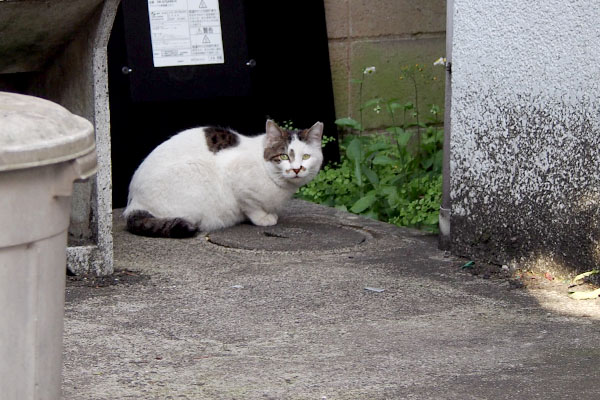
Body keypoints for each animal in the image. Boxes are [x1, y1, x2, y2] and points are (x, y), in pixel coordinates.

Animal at [122, 119, 326, 238]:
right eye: (284, 156)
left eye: (306, 156)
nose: (297, 169)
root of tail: (134, 205)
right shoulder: (235, 177)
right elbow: (250, 205)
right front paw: (263, 218)